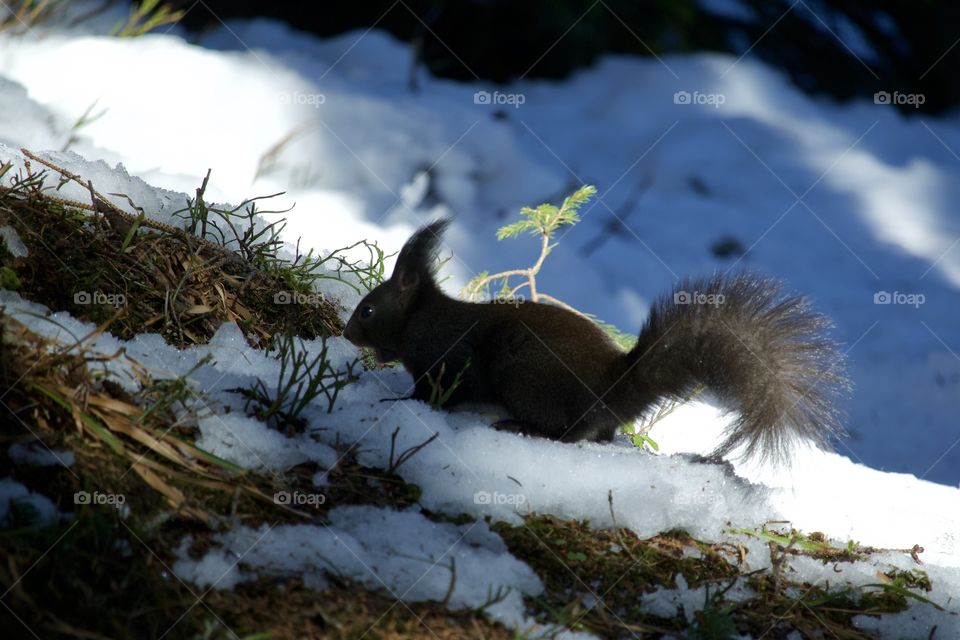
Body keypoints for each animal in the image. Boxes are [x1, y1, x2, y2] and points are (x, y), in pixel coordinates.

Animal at [343, 220, 849, 461]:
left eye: (367, 310)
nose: (346, 334)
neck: (420, 319)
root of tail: (612, 388)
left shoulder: (446, 361)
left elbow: (435, 394)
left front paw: (397, 403)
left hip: (525, 376)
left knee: (567, 433)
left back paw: (519, 426)